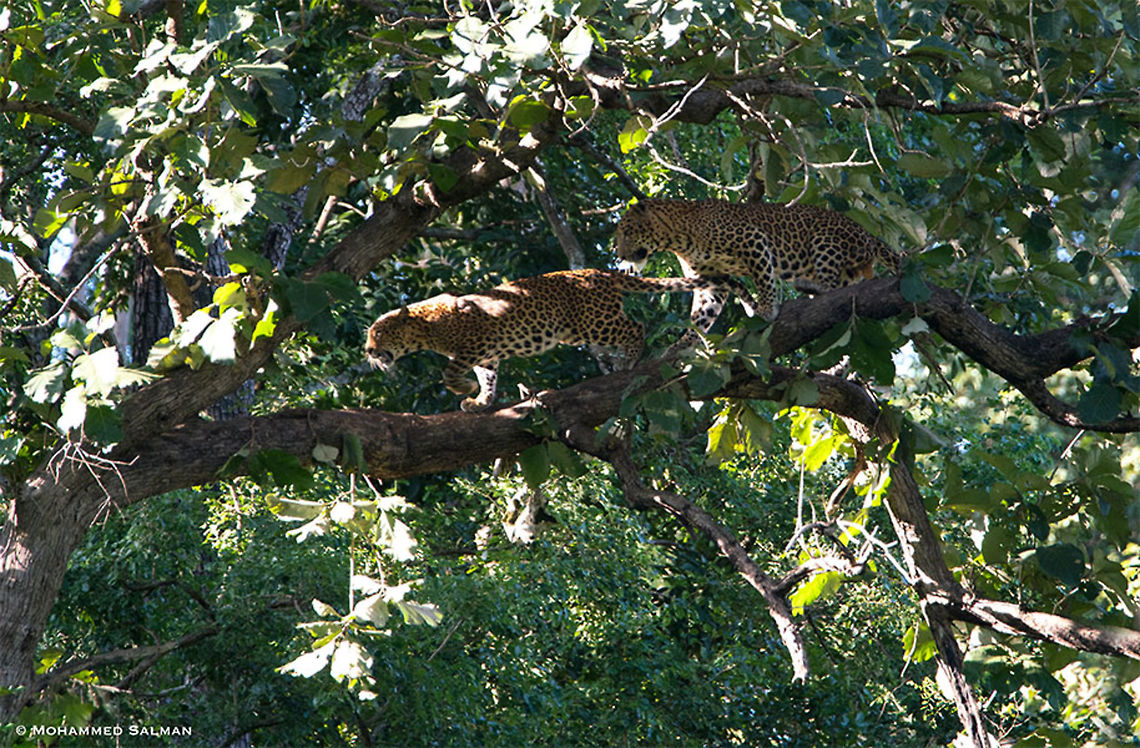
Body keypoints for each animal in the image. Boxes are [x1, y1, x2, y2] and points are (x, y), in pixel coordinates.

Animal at [364, 268, 714, 411]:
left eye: (377, 333)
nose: (367, 350)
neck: (424, 327)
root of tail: (598, 271)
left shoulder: (474, 344)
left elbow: (449, 371)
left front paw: (463, 388)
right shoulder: (487, 354)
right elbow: (488, 378)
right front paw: (480, 401)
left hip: (593, 322)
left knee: (636, 326)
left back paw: (627, 361)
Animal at [613, 198, 901, 328]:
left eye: (626, 232)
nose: (619, 254)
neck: (677, 237)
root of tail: (869, 235)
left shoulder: (753, 240)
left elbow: (764, 280)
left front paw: (766, 309)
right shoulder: (713, 281)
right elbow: (703, 313)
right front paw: (683, 346)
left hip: (824, 241)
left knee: (833, 288)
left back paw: (813, 288)